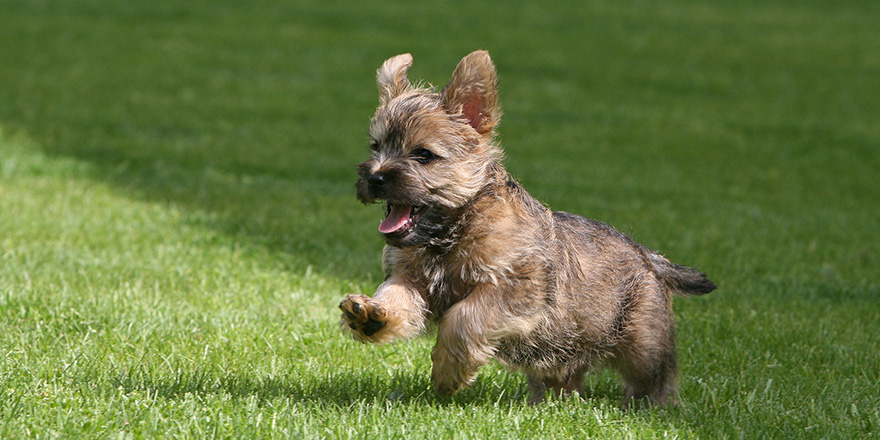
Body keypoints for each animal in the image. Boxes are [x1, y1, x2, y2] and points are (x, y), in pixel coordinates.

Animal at [336, 50, 716, 406]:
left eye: (424, 155)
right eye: (376, 146)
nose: (375, 177)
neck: (452, 232)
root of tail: (648, 256)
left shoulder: (516, 289)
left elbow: (464, 318)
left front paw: (447, 373)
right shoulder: (410, 276)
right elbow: (397, 295)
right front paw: (371, 315)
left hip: (644, 342)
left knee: (656, 377)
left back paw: (652, 409)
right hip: (563, 349)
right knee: (565, 375)